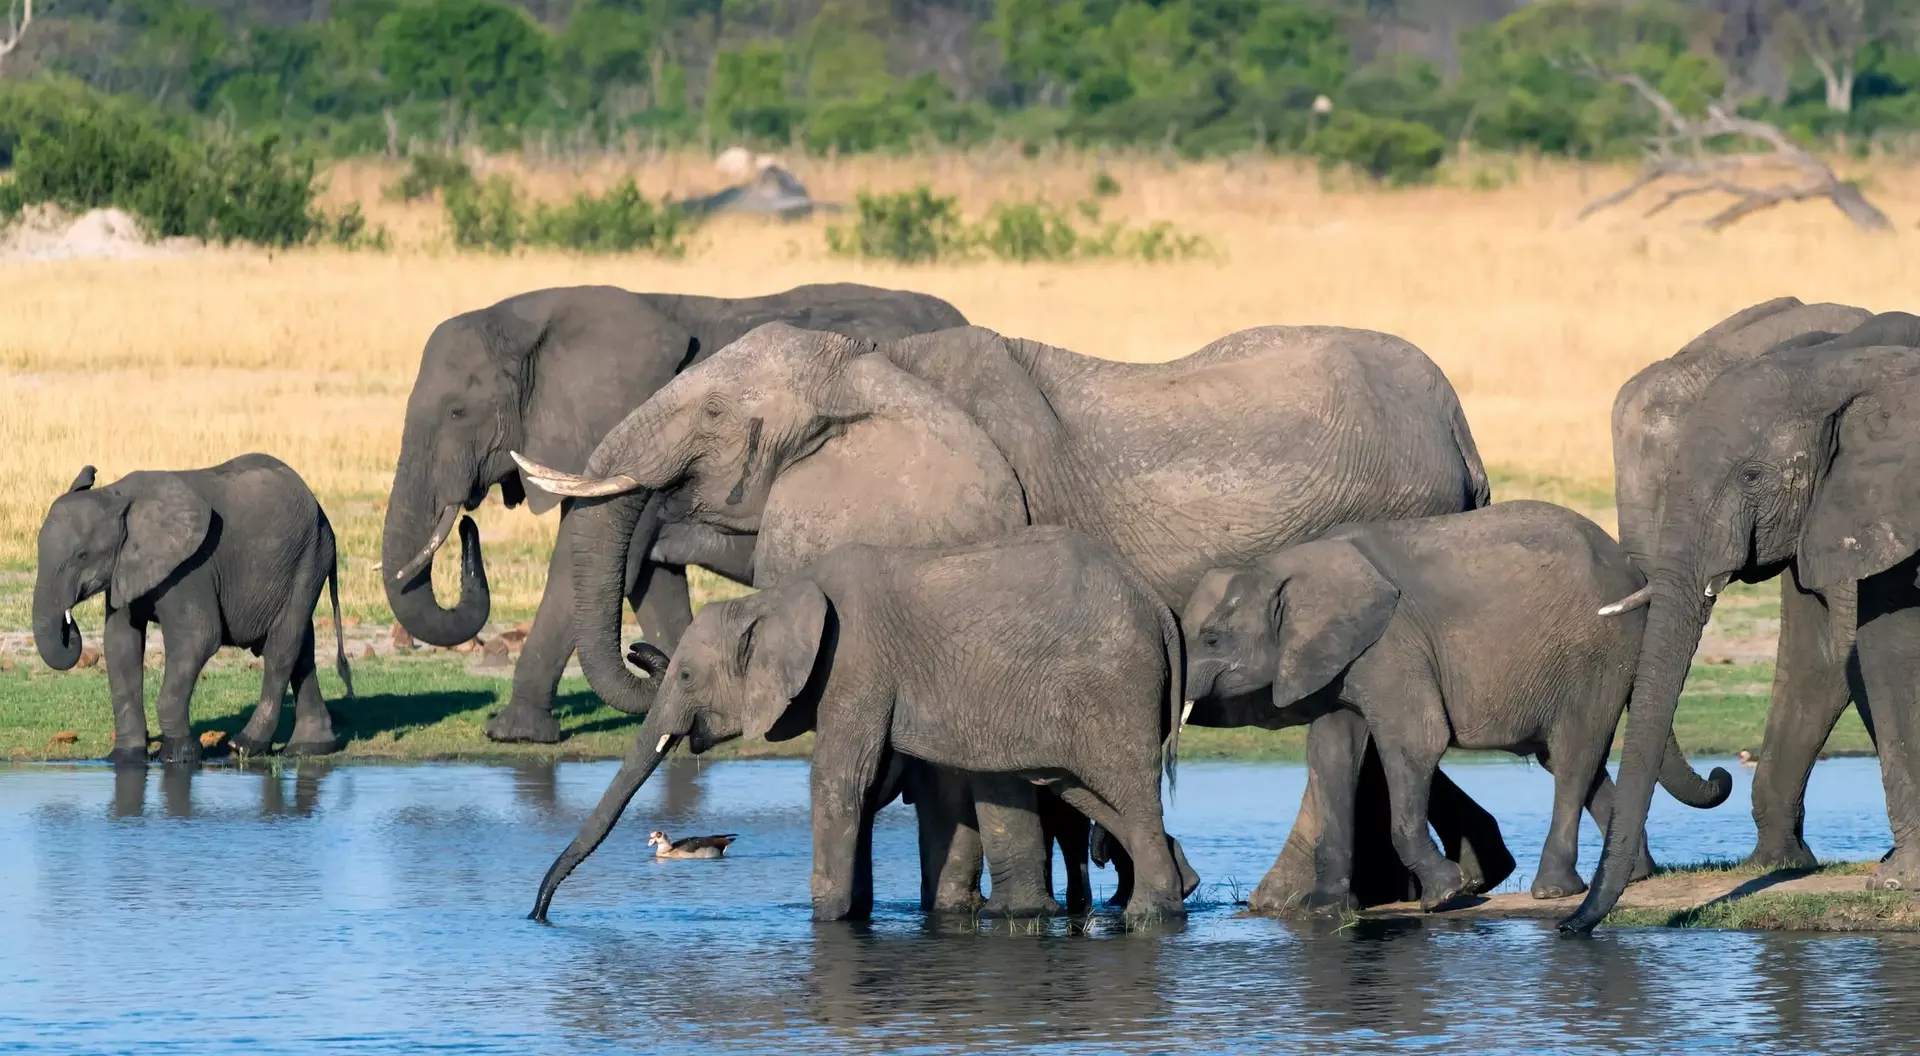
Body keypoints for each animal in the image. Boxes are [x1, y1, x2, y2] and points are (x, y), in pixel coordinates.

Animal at [33, 454, 353, 765]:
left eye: (82, 555)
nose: (69, 622)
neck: (117, 495)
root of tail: (319, 507)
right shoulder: (125, 568)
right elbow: (120, 644)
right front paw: (124, 759)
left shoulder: (191, 567)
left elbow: (198, 638)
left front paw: (178, 756)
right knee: (302, 650)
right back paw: (310, 748)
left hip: (308, 559)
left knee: (281, 648)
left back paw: (245, 746)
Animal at [380, 283, 966, 746]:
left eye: (458, 412)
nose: (466, 525)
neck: (534, 317)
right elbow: (650, 580)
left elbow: (583, 568)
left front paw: (512, 734)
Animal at [532, 527, 1195, 922]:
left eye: (689, 676)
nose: (538, 914)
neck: (776, 598)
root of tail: (1160, 609)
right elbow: (862, 785)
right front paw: (852, 915)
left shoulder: (855, 664)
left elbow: (838, 782)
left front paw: (824, 921)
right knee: (1087, 792)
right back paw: (1175, 893)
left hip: (1114, 688)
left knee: (1128, 792)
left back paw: (1149, 916)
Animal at [1181, 500, 1733, 909]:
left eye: (1212, 640)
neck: (1283, 564)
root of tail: (1633, 570)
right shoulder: (1334, 660)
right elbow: (1331, 755)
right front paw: (1326, 910)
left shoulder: (1392, 646)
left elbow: (1416, 744)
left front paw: (1445, 895)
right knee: (1577, 759)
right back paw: (1638, 874)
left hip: (1599, 650)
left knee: (1573, 758)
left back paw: (1553, 889)